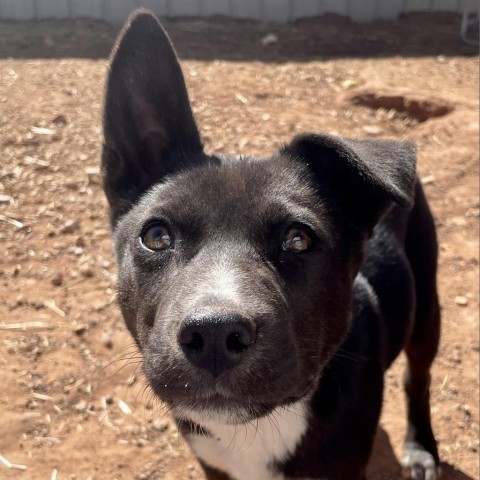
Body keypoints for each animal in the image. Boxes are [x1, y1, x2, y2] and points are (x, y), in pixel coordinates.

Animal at [102, 8, 442, 480]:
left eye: (298, 239)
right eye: (156, 236)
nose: (214, 333)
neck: (260, 427)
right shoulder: (214, 465)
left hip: (426, 305)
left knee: (418, 377)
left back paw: (420, 447)